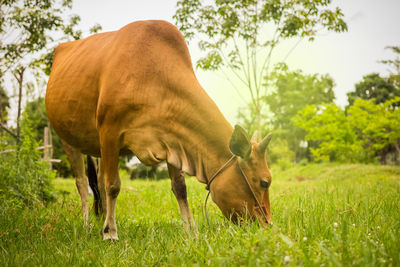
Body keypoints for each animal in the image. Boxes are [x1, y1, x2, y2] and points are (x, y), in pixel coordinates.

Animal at [45, 20, 274, 241]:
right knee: (83, 183)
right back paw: (88, 225)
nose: (268, 226)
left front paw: (191, 231)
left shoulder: (173, 140)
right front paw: (111, 233)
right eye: (264, 182)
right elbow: (113, 185)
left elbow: (180, 188)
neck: (152, 79)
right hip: (68, 139)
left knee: (98, 182)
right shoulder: (109, 132)